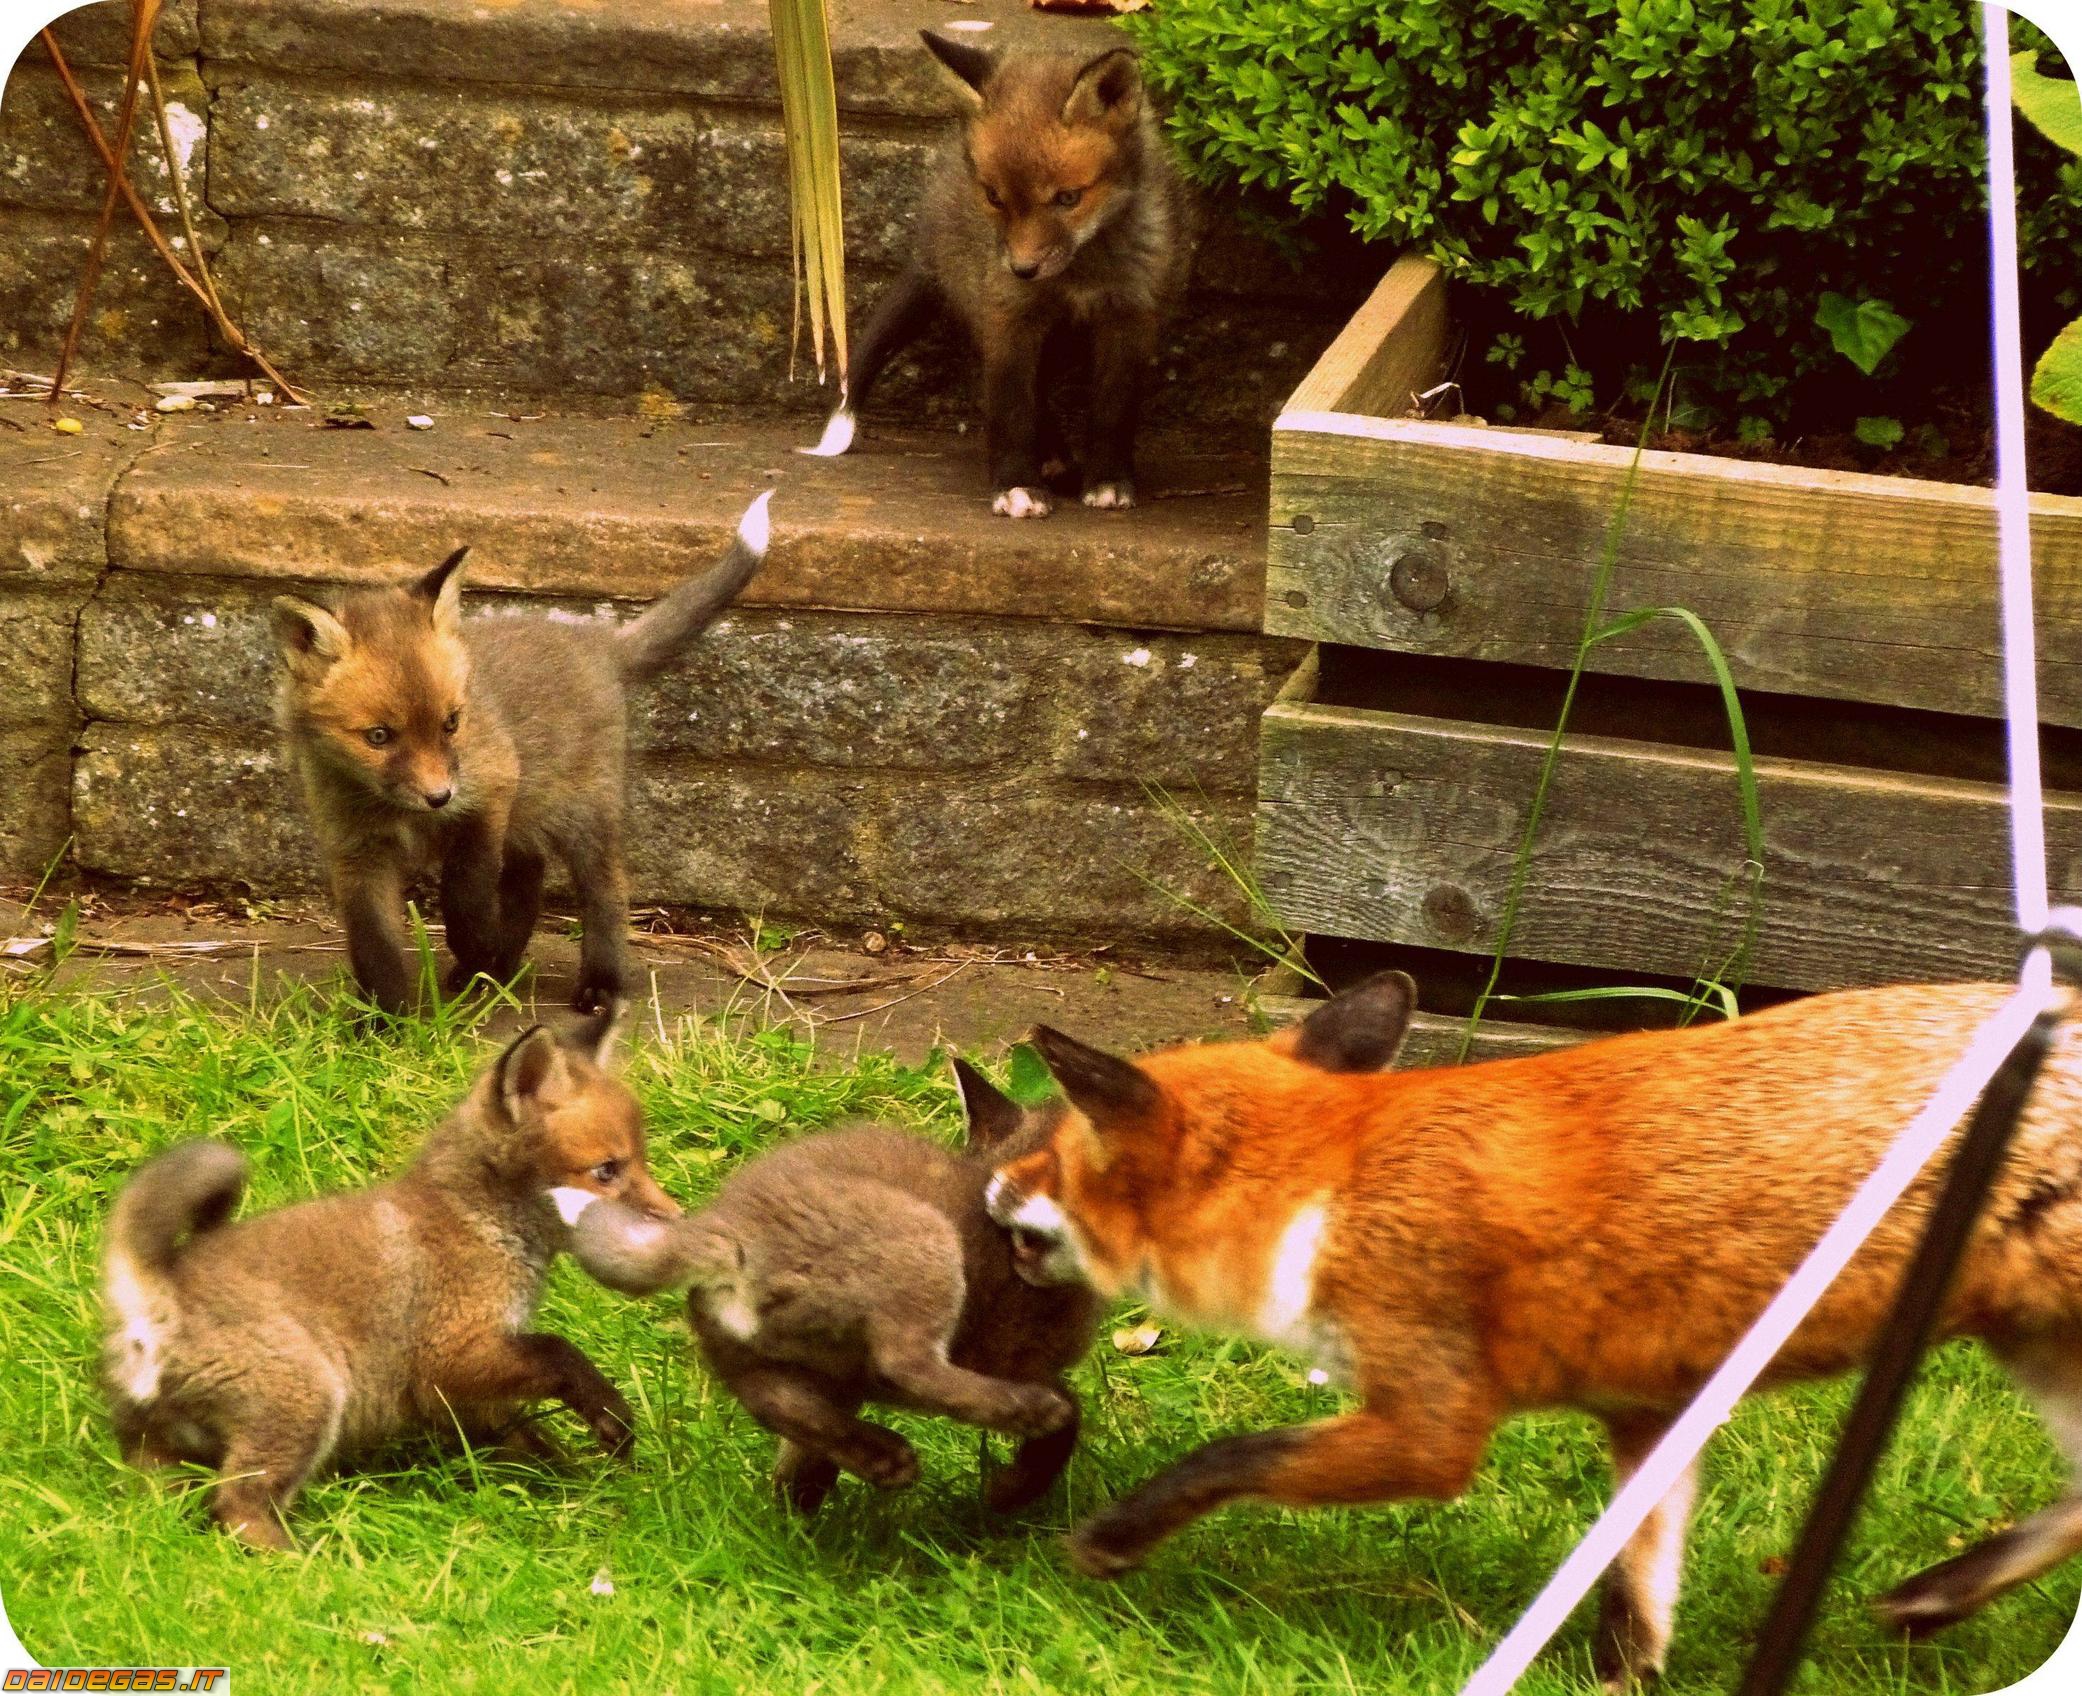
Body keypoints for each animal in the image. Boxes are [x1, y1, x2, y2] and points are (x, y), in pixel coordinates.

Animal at [982, 973, 2082, 1689]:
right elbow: (1634, 1612)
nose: (988, 1183)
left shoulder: (1433, 1426)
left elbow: (1229, 1455)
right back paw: (1946, 1592)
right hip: (2035, 1352)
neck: (1330, 1186)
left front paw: (1115, 1537)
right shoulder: (1650, 1416)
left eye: (1056, 1153)